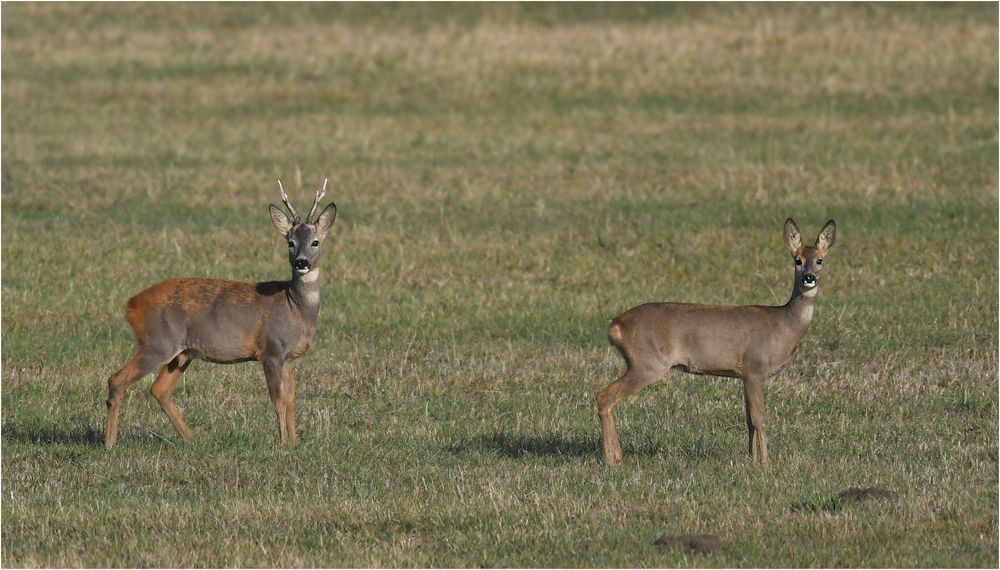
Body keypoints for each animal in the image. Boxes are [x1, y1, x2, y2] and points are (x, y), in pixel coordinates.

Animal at [102, 180, 338, 446]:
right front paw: (282, 443)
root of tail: (131, 304)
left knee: (159, 389)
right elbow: (277, 401)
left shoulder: (291, 358)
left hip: (182, 352)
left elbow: (290, 402)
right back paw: (109, 442)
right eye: (290, 242)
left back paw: (191, 438)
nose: (301, 262)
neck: (295, 308)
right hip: (158, 343)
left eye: (315, 242)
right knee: (117, 379)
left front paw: (294, 442)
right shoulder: (272, 350)